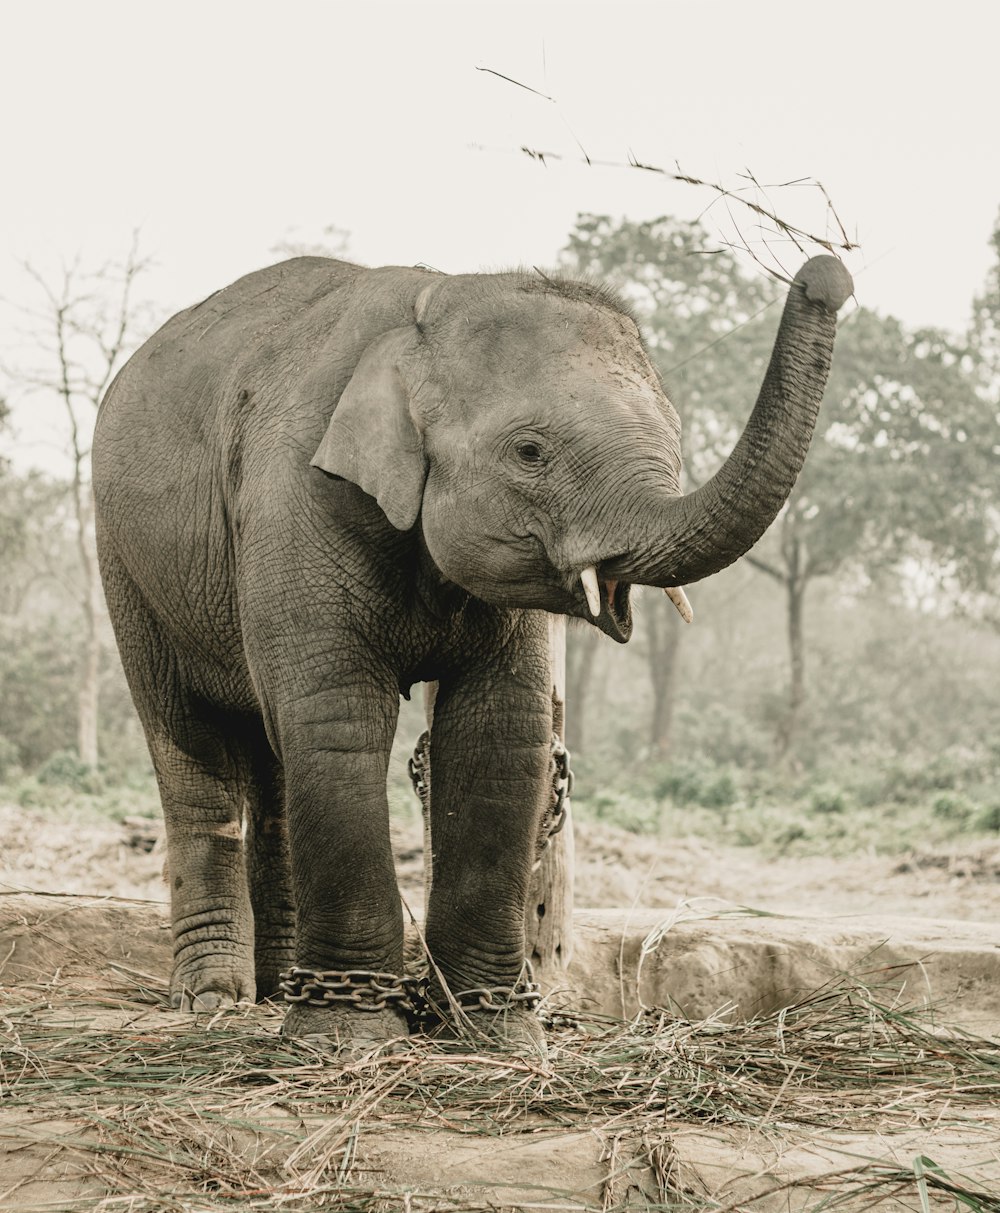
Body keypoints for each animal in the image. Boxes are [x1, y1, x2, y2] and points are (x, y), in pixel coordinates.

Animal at [95, 251, 849, 1048]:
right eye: (530, 452)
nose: (826, 275)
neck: (434, 301)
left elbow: (501, 730)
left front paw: (493, 1032)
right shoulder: (294, 498)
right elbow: (338, 718)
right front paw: (347, 1035)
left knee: (272, 761)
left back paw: (273, 991)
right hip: (126, 564)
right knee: (193, 742)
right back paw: (213, 1000)